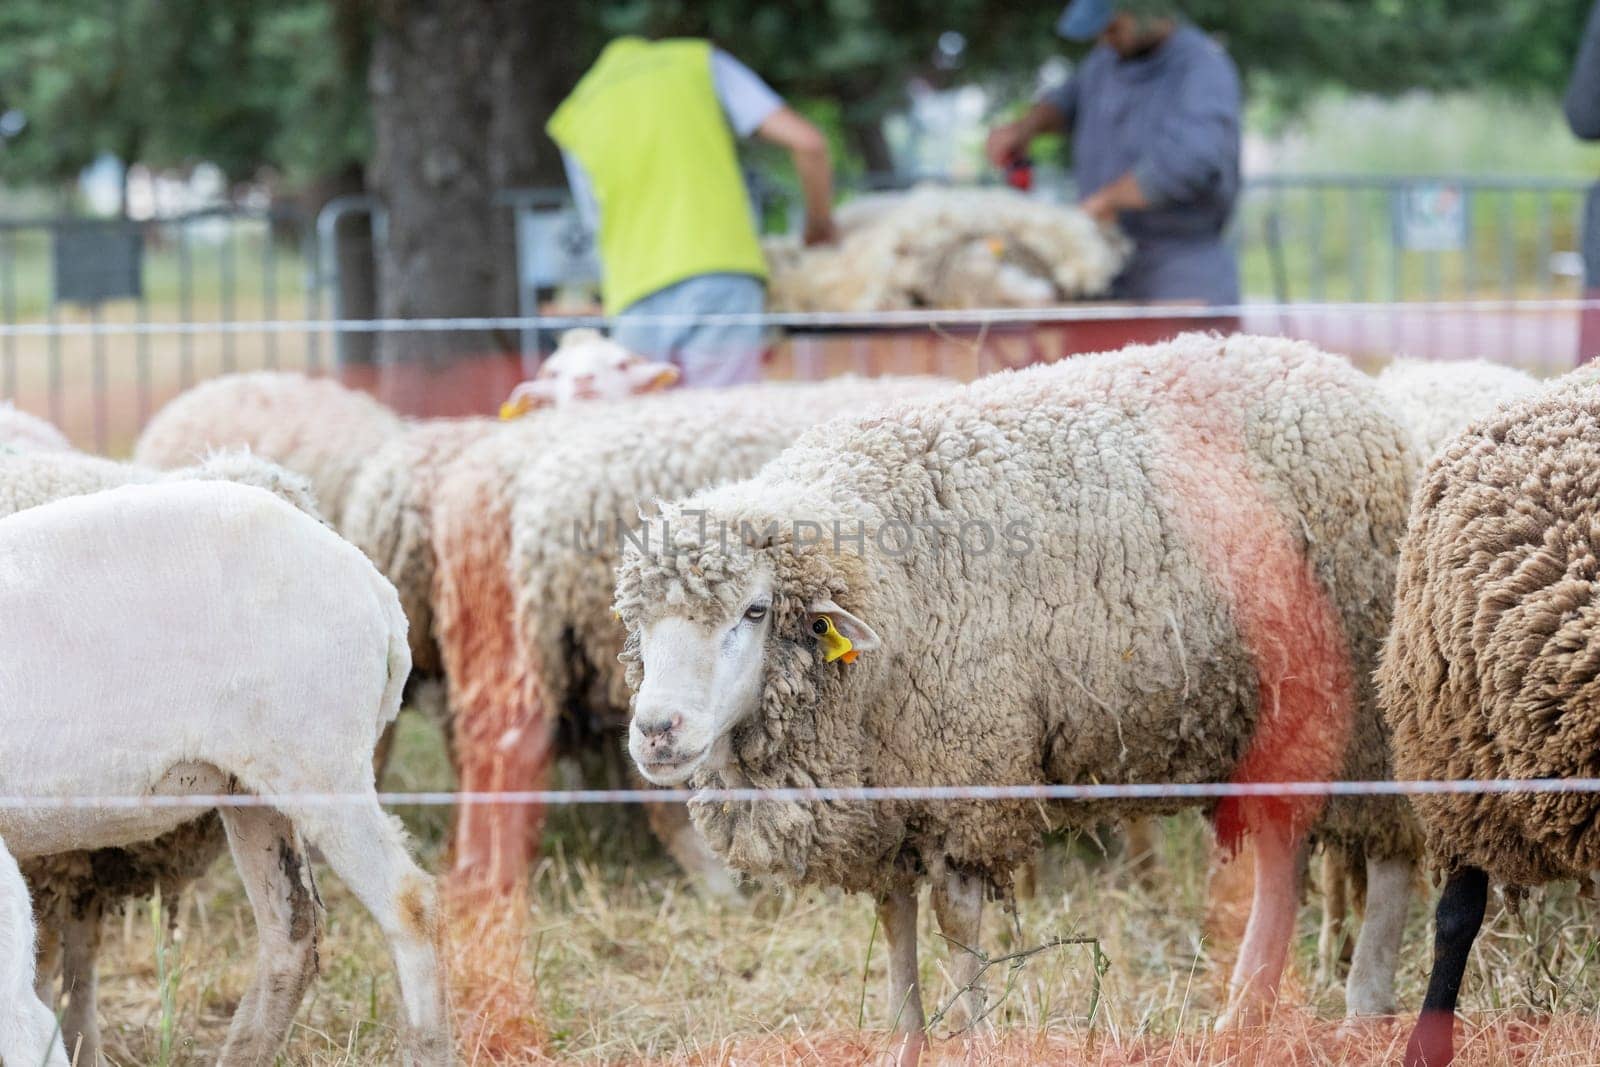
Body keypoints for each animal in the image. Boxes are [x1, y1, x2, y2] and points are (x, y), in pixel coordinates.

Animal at [0, 479, 451, 1062]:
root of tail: (374, 586)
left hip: (321, 764)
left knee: (409, 904)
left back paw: (428, 1047)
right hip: (254, 788)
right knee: (292, 932)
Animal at [614, 335, 1427, 1062]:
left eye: (754, 611)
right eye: (638, 623)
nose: (656, 731)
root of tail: (1347, 380)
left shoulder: (966, 773)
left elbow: (957, 923)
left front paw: (973, 1040)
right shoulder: (887, 795)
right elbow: (894, 918)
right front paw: (905, 1043)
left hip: (1361, 704)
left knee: (1386, 849)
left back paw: (1363, 1005)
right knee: (1284, 853)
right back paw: (1245, 1016)